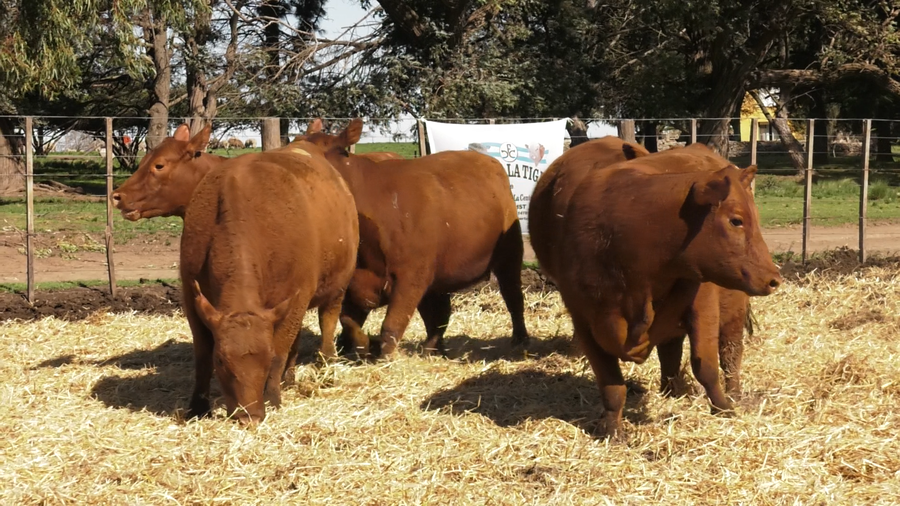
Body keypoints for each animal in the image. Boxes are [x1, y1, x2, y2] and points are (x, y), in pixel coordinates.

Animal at [181, 140, 359, 424]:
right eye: (221, 361)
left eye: (263, 361)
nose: (249, 417)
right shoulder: (191, 296)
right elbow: (202, 356)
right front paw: (197, 407)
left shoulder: (296, 298)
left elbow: (279, 352)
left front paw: (272, 397)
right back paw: (290, 378)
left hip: (337, 289)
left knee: (327, 322)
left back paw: (326, 363)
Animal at [297, 118, 528, 359]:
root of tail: (488, 160)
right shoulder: (355, 283)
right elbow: (347, 321)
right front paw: (364, 345)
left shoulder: (411, 276)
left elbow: (391, 325)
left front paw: (385, 357)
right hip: (438, 276)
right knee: (440, 314)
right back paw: (431, 349)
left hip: (509, 255)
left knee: (513, 297)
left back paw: (519, 339)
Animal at [529, 143, 781, 436]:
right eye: (736, 221)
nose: (774, 277)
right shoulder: (583, 320)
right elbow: (610, 383)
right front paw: (612, 431)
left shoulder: (703, 305)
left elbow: (705, 364)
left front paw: (723, 408)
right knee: (670, 350)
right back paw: (671, 390)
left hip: (733, 307)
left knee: (730, 352)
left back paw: (733, 393)